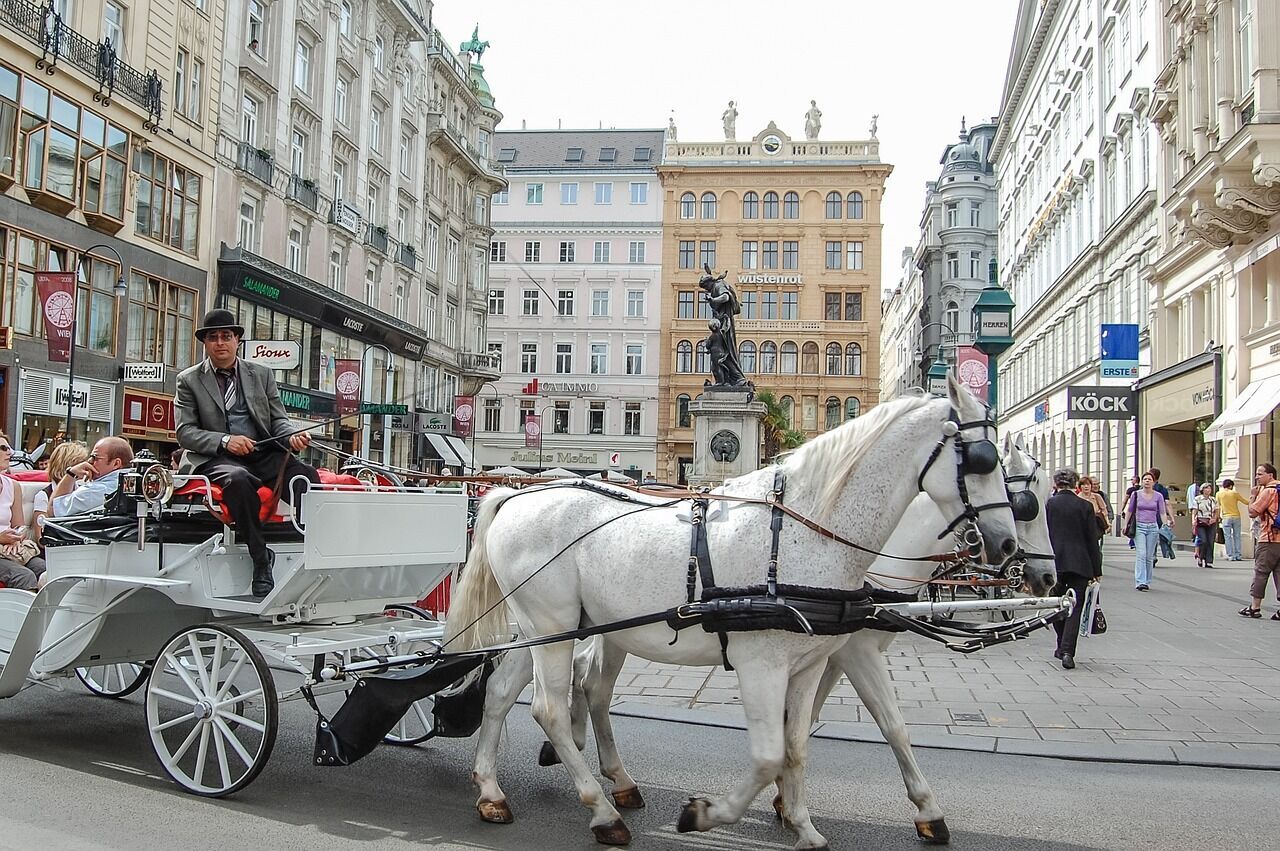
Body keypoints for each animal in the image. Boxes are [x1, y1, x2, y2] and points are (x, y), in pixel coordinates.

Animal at [445, 378, 1013, 849]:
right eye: (983, 459)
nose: (1005, 546)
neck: (804, 529)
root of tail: (515, 496)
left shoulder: (808, 666)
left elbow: (796, 746)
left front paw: (803, 826)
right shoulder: (763, 664)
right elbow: (767, 756)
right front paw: (706, 814)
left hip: (546, 631)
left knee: (504, 694)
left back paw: (492, 792)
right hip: (554, 630)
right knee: (550, 710)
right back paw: (604, 812)